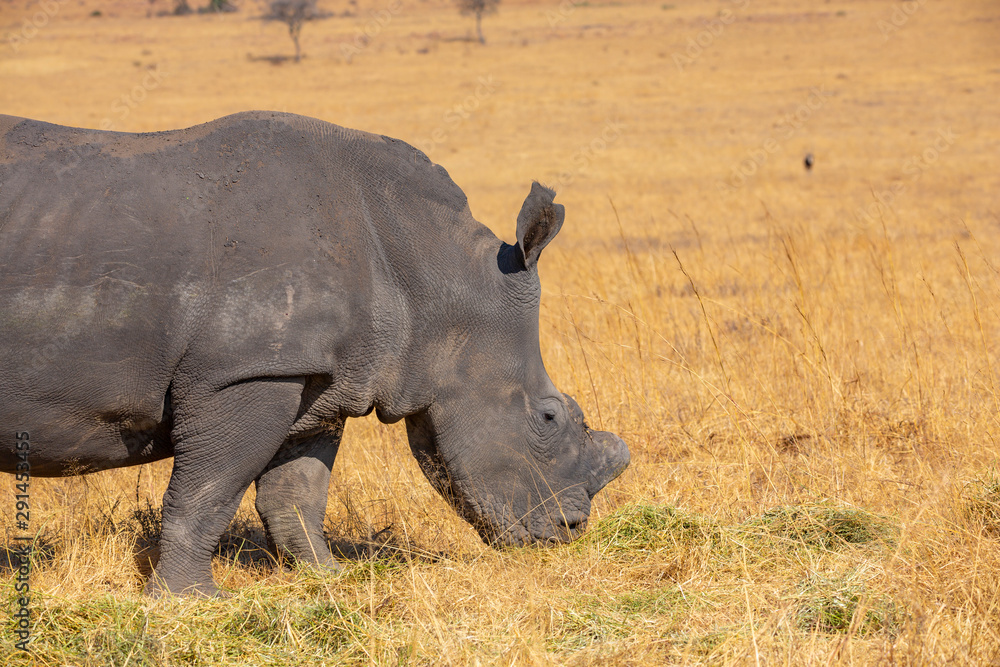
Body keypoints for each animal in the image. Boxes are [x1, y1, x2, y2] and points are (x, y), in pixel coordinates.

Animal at [0, 111, 629, 596]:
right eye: (548, 417)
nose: (570, 530)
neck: (432, 272)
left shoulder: (318, 375)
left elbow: (297, 492)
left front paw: (327, 580)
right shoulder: (245, 371)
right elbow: (207, 491)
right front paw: (191, 602)